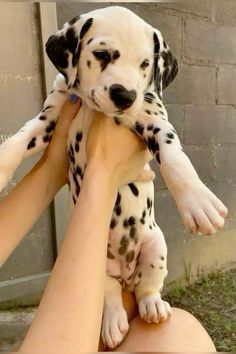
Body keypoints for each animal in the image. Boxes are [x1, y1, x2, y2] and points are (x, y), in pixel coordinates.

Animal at [0, 5, 228, 348]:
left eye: (145, 64)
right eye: (102, 54)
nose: (124, 95)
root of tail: (125, 272)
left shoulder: (152, 118)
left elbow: (174, 156)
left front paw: (198, 202)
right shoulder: (49, 119)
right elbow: (18, 140)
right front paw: (1, 165)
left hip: (156, 246)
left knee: (147, 286)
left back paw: (153, 306)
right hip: (97, 264)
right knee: (107, 291)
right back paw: (113, 321)